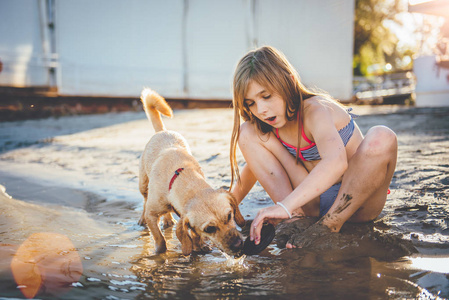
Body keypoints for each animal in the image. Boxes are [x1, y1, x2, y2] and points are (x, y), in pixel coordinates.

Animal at [138, 88, 245, 255]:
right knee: (144, 200)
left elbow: (193, 232)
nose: (238, 244)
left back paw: (168, 219)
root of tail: (162, 131)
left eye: (229, 215)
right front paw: (160, 253)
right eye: (209, 229)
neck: (182, 176)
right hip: (143, 185)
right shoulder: (152, 214)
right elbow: (159, 238)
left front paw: (199, 245)